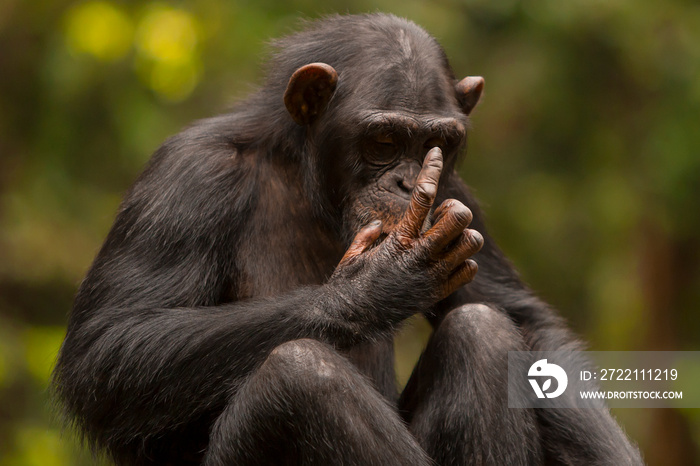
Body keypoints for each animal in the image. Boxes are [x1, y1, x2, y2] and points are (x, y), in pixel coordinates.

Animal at [53, 12, 644, 464]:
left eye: (438, 143)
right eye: (383, 141)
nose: (408, 181)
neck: (305, 176)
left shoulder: (457, 193)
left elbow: (527, 323)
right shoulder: (188, 176)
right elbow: (111, 342)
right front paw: (383, 280)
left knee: (482, 329)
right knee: (301, 377)